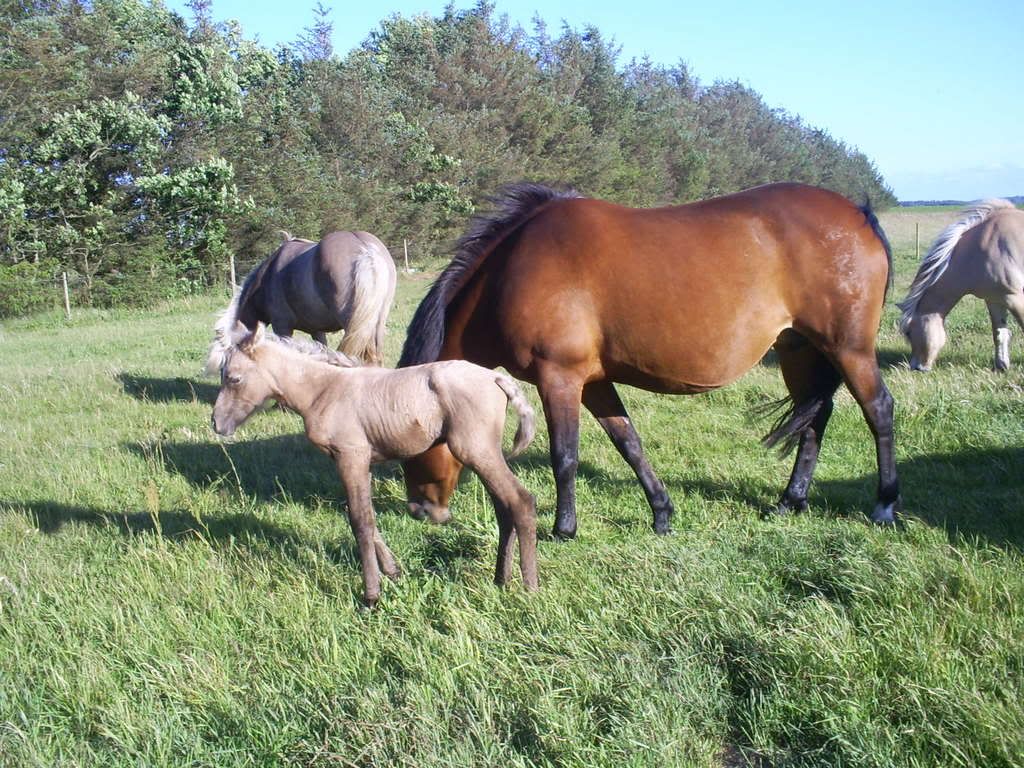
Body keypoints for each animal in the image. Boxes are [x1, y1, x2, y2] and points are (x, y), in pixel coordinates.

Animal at [211, 322, 538, 607]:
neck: (323, 391)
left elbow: (360, 520)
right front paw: (393, 572)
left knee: (521, 501)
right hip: (483, 454)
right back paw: (501, 579)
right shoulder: (357, 460)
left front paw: (371, 596)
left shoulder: (351, 455)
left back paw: (528, 586)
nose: (217, 424)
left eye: (234, 378)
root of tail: (496, 378)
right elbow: (362, 512)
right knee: (504, 508)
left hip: (475, 450)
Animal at [398, 181, 900, 538]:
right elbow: (629, 443)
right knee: (814, 419)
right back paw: (789, 502)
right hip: (798, 350)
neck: (510, 270)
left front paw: (564, 528)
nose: (420, 511)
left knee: (878, 410)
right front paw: (661, 513)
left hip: (848, 349)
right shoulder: (594, 381)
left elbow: (566, 455)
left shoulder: (558, 378)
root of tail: (857, 214)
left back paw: (885, 505)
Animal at [897, 199, 1024, 372]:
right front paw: (1002, 366)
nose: (917, 367)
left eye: (909, 332)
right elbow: (999, 334)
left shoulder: (1014, 298)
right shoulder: (995, 299)